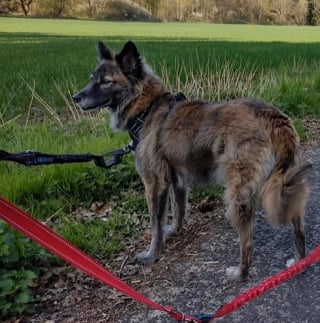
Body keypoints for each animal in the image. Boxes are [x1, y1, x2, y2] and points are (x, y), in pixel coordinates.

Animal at [74, 40, 312, 282]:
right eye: (92, 78)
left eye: (105, 82)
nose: (76, 97)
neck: (147, 109)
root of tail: (272, 116)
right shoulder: (177, 181)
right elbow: (178, 211)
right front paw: (174, 231)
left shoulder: (154, 183)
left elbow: (156, 224)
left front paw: (152, 254)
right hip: (286, 181)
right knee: (297, 223)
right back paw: (299, 260)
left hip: (238, 195)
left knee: (247, 243)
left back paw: (240, 274)